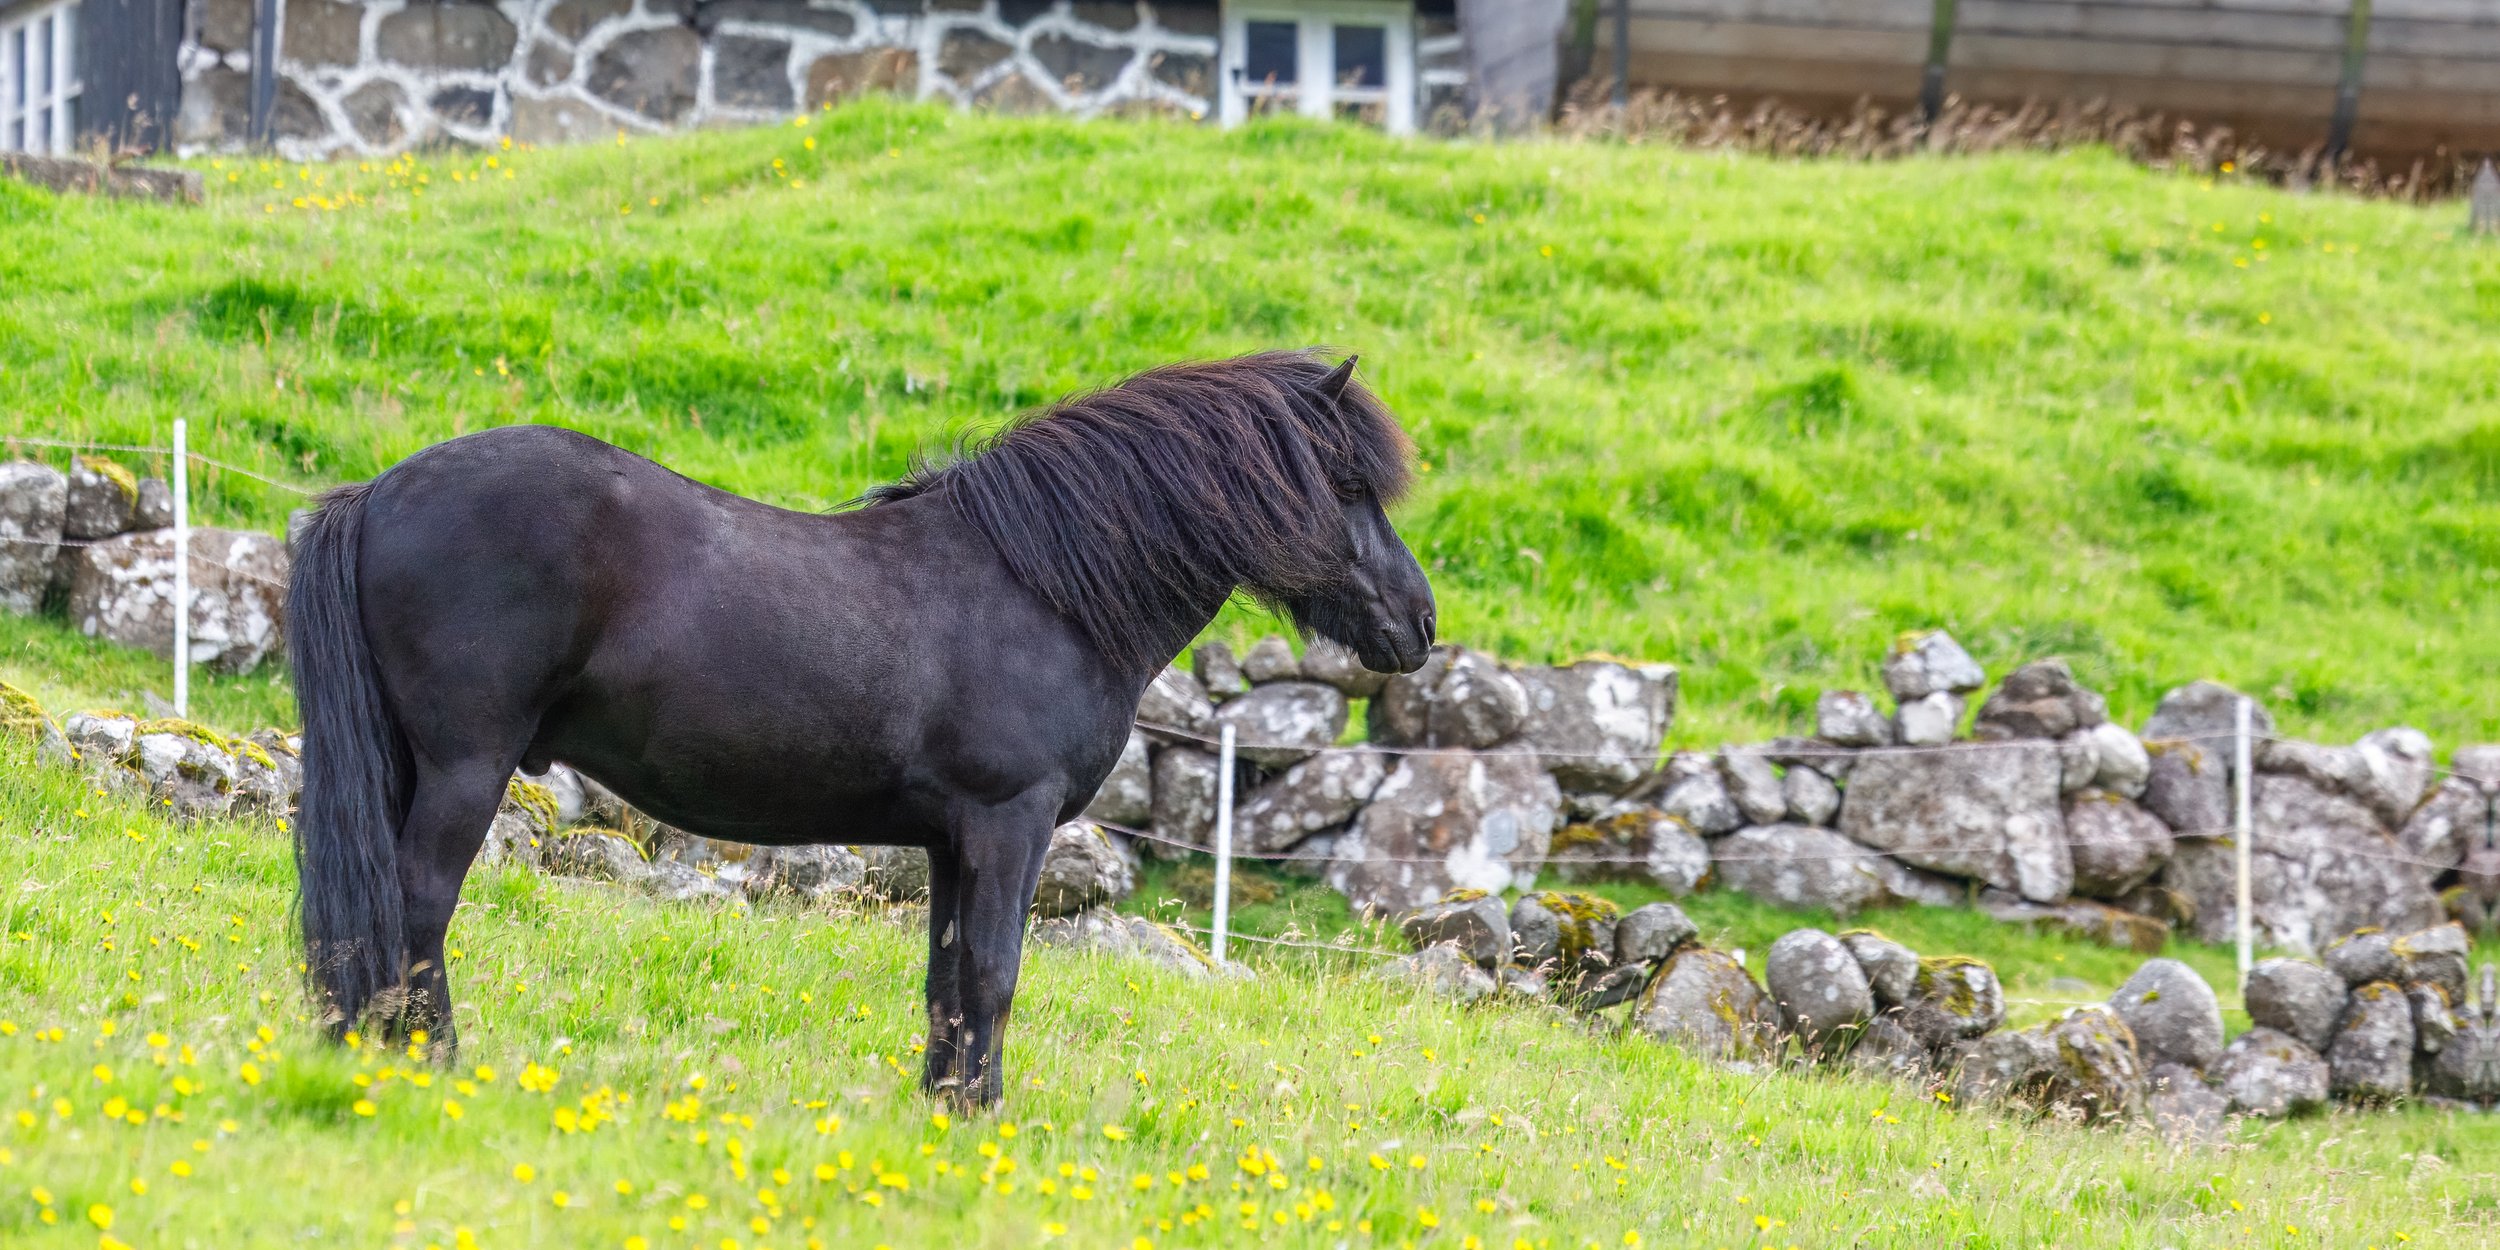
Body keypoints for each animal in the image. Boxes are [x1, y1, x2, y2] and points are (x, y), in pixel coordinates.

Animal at [286, 350, 1435, 1106]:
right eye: (1348, 484)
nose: (1419, 624)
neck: (1043, 588)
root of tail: (377, 492)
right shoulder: (1010, 826)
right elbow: (995, 974)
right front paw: (983, 1116)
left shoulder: (953, 841)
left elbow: (947, 980)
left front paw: (941, 1106)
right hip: (465, 766)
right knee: (418, 902)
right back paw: (430, 1061)